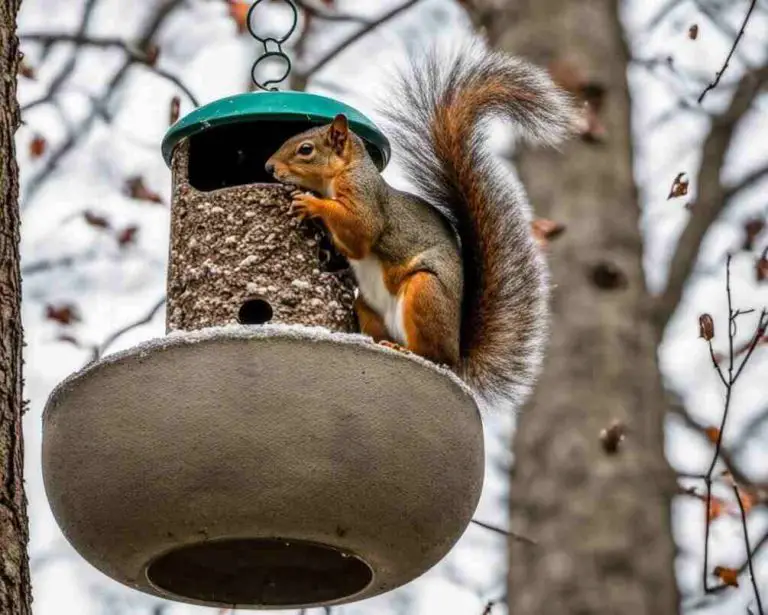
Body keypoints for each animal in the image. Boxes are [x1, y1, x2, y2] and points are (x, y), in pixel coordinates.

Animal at [268, 43, 572, 410]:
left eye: (305, 149)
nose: (269, 167)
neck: (341, 174)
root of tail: (457, 355)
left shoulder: (365, 199)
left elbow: (361, 231)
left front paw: (312, 204)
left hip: (424, 292)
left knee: (428, 354)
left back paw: (405, 349)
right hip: (367, 305)